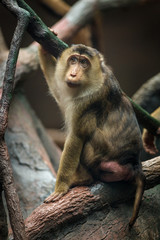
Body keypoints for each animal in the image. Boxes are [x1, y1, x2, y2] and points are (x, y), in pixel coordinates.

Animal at [38, 43, 145, 227]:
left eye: (84, 63)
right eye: (73, 60)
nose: (73, 73)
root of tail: (133, 163)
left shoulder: (88, 100)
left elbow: (76, 137)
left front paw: (61, 188)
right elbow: (58, 90)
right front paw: (42, 48)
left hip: (100, 152)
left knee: (90, 136)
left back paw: (84, 178)